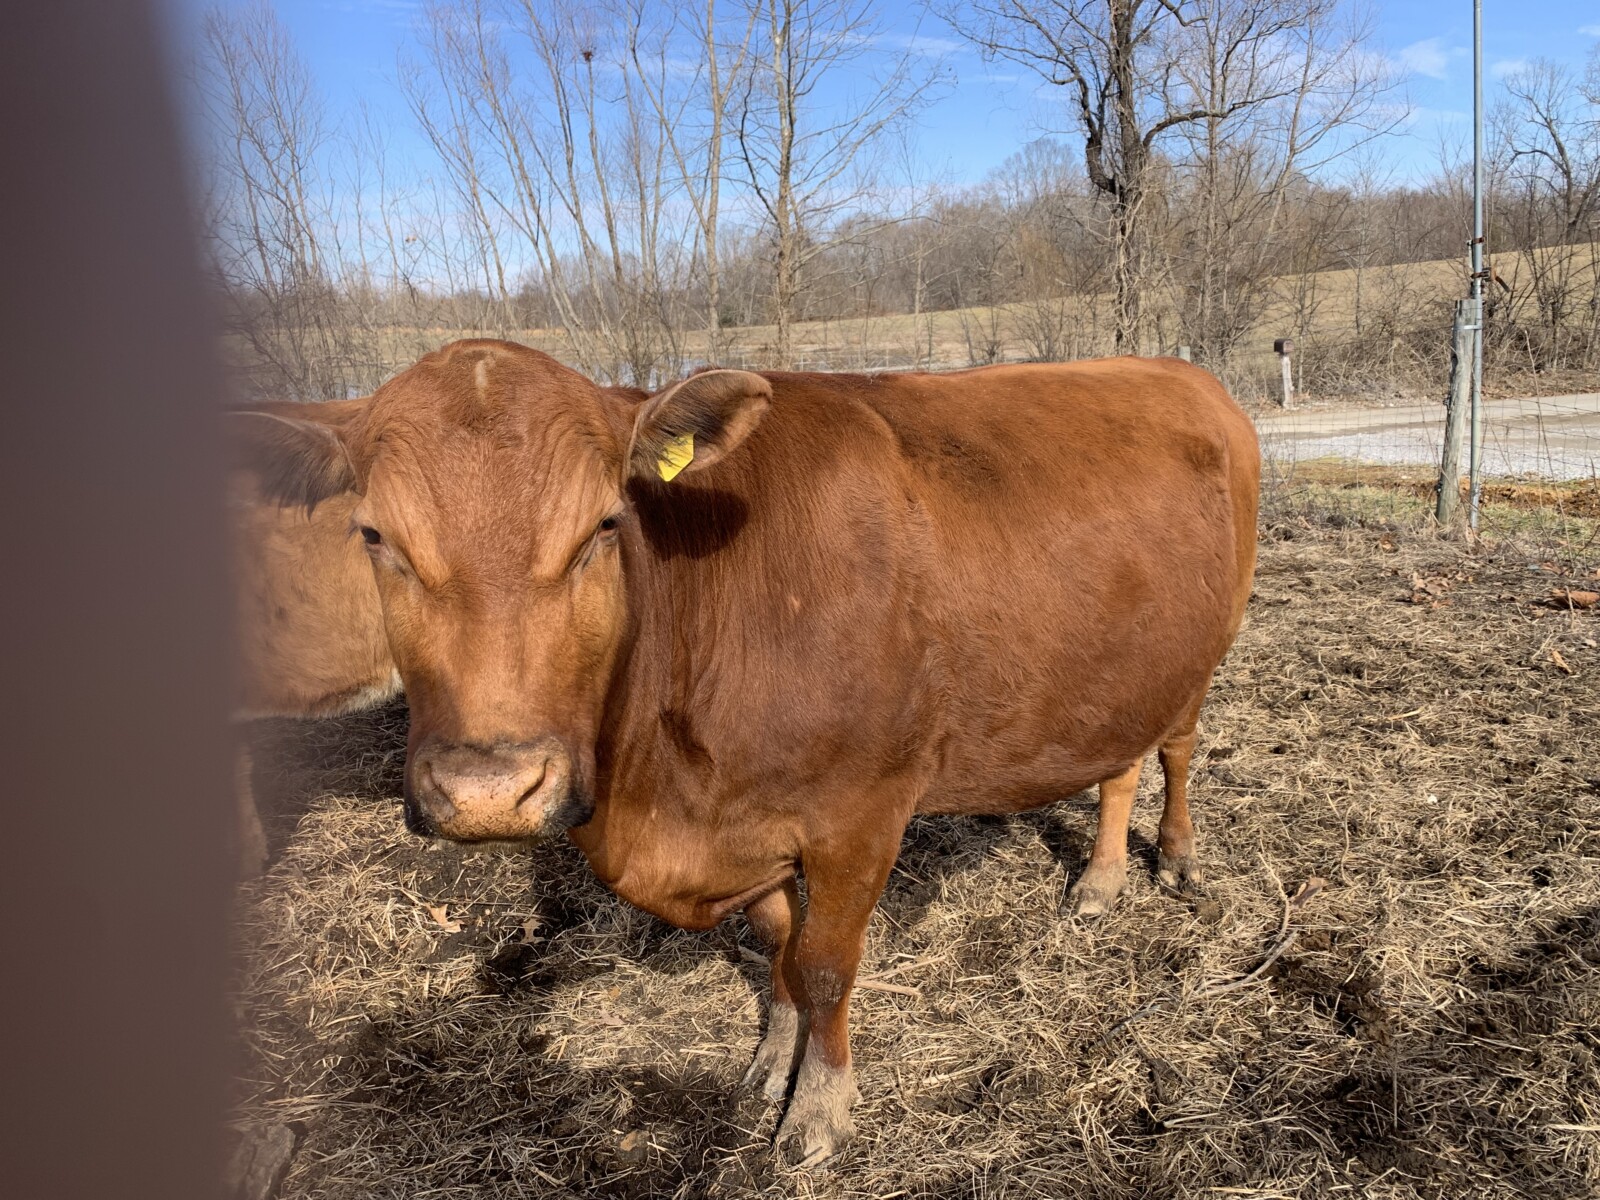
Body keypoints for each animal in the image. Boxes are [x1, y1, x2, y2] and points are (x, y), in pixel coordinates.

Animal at [236, 340, 1260, 1164]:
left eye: (602, 527)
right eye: (374, 536)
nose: (490, 789)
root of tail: (1179, 371)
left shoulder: (862, 816)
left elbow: (825, 963)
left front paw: (819, 1109)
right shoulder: (746, 825)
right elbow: (775, 945)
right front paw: (773, 1055)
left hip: (1205, 651)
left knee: (1176, 752)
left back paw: (1173, 859)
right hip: (1118, 673)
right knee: (1120, 761)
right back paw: (1100, 880)